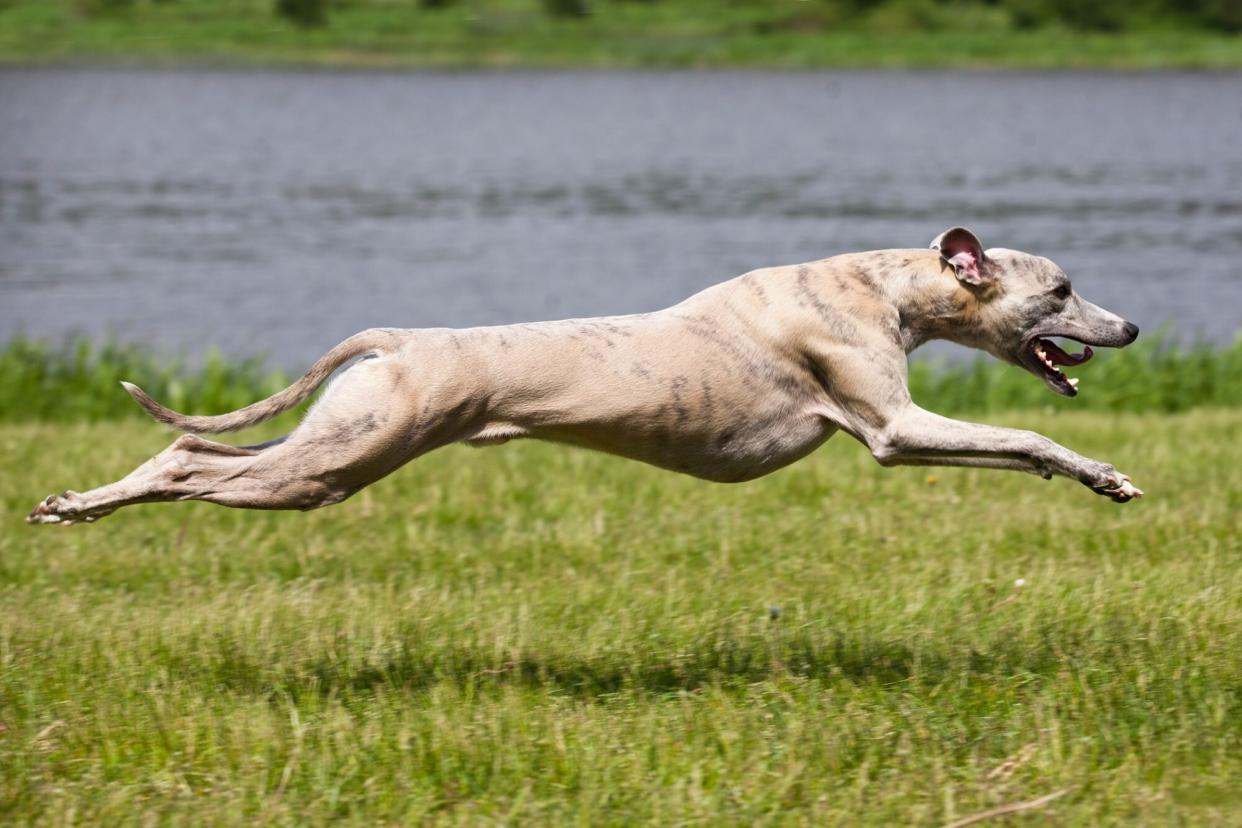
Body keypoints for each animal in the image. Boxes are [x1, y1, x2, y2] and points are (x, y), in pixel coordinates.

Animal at [24, 224, 1137, 523]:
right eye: (1063, 286)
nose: (1130, 326)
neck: (884, 284)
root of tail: (397, 339)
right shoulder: (895, 433)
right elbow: (1028, 434)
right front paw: (1102, 473)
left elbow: (1021, 445)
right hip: (327, 465)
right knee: (184, 458)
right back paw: (78, 505)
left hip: (331, 445)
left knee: (186, 449)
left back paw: (75, 502)